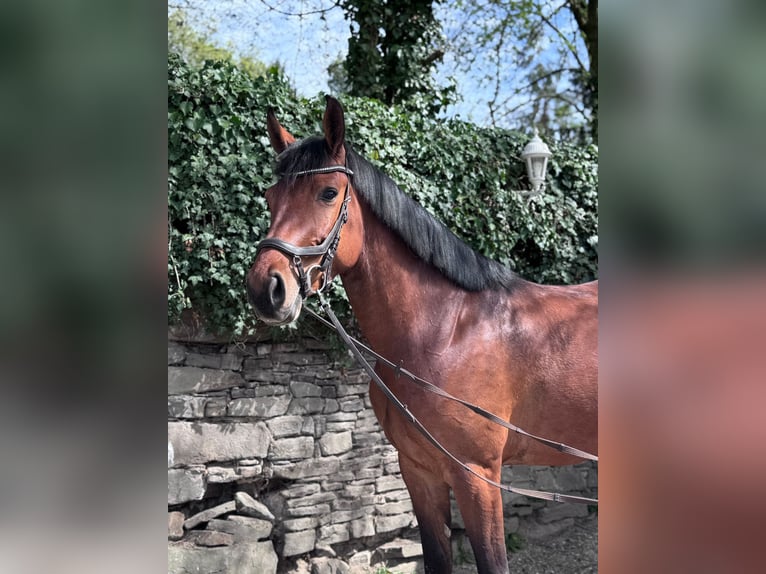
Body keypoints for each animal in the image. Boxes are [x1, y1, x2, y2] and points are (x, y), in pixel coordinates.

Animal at [246, 96, 598, 574]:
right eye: (270, 196)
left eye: (328, 192)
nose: (266, 289)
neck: (445, 332)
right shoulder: (419, 471)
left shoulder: (477, 476)